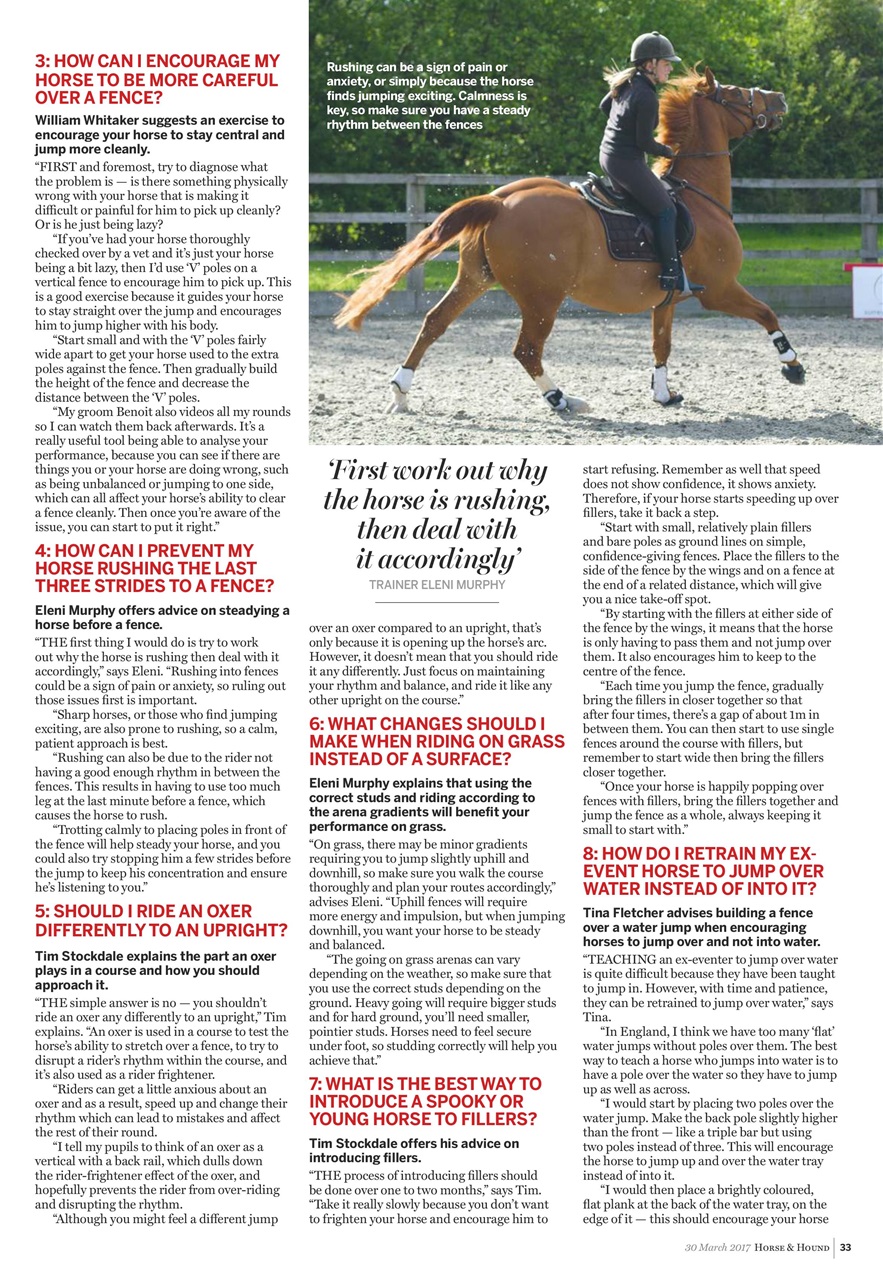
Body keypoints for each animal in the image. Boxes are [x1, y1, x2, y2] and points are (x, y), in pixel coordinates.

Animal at [333, 68, 806, 414]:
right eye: (737, 93)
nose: (780, 98)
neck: (698, 196)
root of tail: (499, 202)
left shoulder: (668, 300)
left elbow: (661, 344)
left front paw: (664, 395)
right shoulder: (720, 290)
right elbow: (767, 313)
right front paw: (793, 366)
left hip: (476, 279)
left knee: (434, 323)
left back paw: (400, 391)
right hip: (543, 298)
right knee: (526, 350)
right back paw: (561, 399)